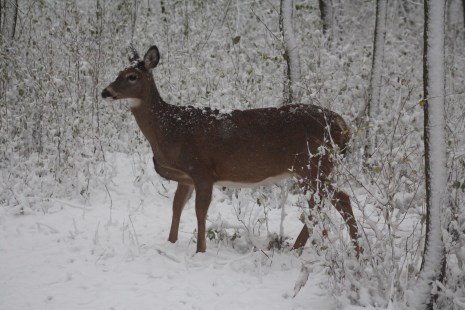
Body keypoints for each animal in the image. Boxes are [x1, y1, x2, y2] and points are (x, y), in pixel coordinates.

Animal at [101, 44, 360, 256]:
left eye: (132, 76)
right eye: (118, 73)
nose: (105, 92)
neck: (169, 129)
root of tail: (342, 125)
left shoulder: (202, 170)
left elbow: (200, 211)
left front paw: (200, 251)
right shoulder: (186, 177)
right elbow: (176, 207)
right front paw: (171, 243)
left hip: (313, 165)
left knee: (333, 200)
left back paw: (325, 249)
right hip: (313, 169)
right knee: (332, 200)